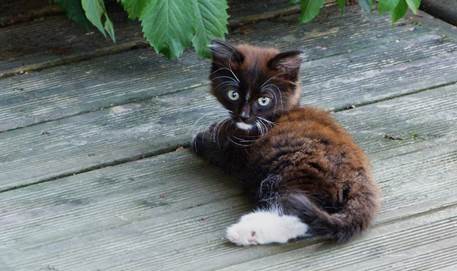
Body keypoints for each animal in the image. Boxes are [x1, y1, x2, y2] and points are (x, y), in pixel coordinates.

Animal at [191, 39, 380, 246]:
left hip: (293, 171)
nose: (244, 116)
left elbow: (214, 146)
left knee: (296, 216)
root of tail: (361, 180)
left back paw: (246, 232)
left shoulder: (238, 150)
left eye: (263, 100)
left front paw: (203, 138)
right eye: (233, 94)